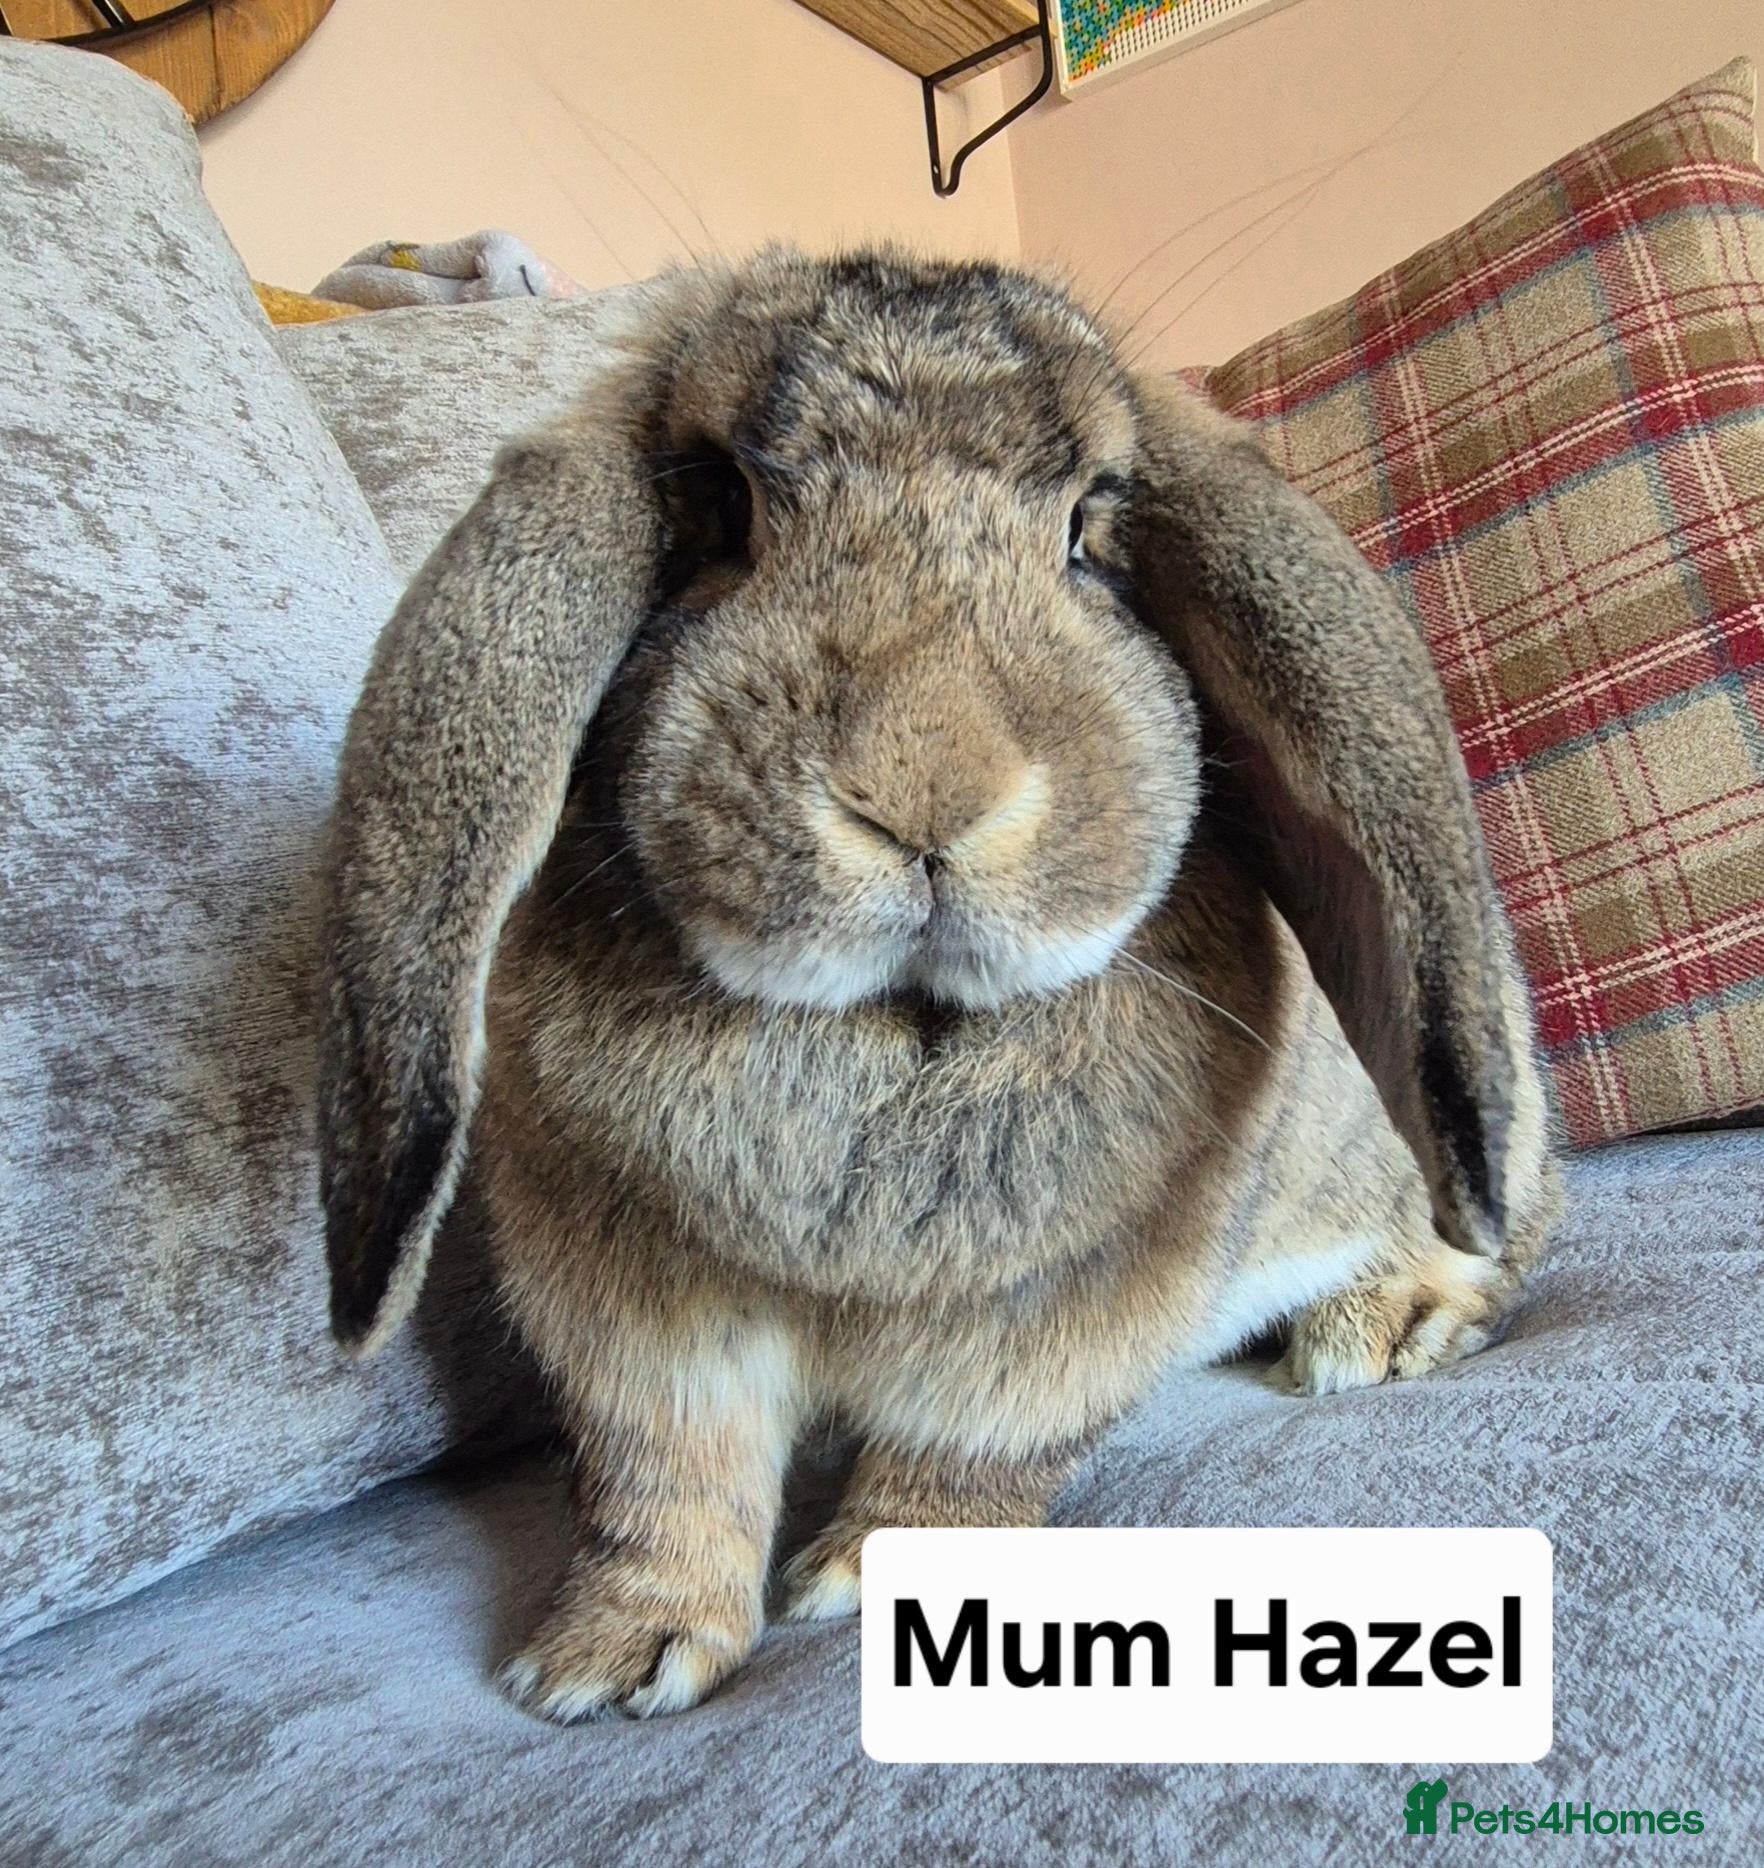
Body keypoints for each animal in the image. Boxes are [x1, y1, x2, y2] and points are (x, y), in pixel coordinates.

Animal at [318, 247, 1559, 1723]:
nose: (923, 793)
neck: (895, 1023)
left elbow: (962, 1463)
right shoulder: (635, 1315)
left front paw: (861, 1580)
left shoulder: (1059, 1317)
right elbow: (664, 1480)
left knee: (1504, 1236)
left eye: (1092, 528)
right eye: (723, 505)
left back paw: (1384, 1323)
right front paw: (607, 1663)